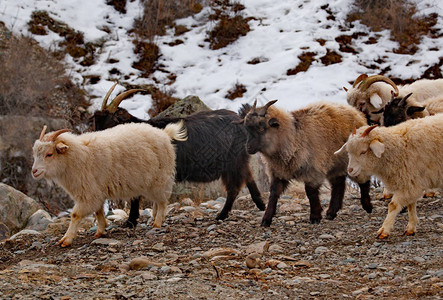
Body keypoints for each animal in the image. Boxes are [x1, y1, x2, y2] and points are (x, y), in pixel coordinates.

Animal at [31, 122, 187, 246]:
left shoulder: (89, 193)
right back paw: (154, 217)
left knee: (162, 202)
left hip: (161, 178)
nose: (34, 171)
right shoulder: (96, 191)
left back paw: (157, 223)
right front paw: (100, 231)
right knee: (157, 201)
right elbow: (98, 211)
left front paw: (66, 240)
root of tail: (164, 133)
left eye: (49, 154)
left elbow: (75, 215)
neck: (78, 156)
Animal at [92, 83, 266, 226]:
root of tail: (241, 120)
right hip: (239, 161)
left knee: (234, 188)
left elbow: (136, 198)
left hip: (233, 162)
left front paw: (131, 221)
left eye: (110, 123)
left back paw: (221, 215)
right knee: (249, 177)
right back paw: (261, 205)